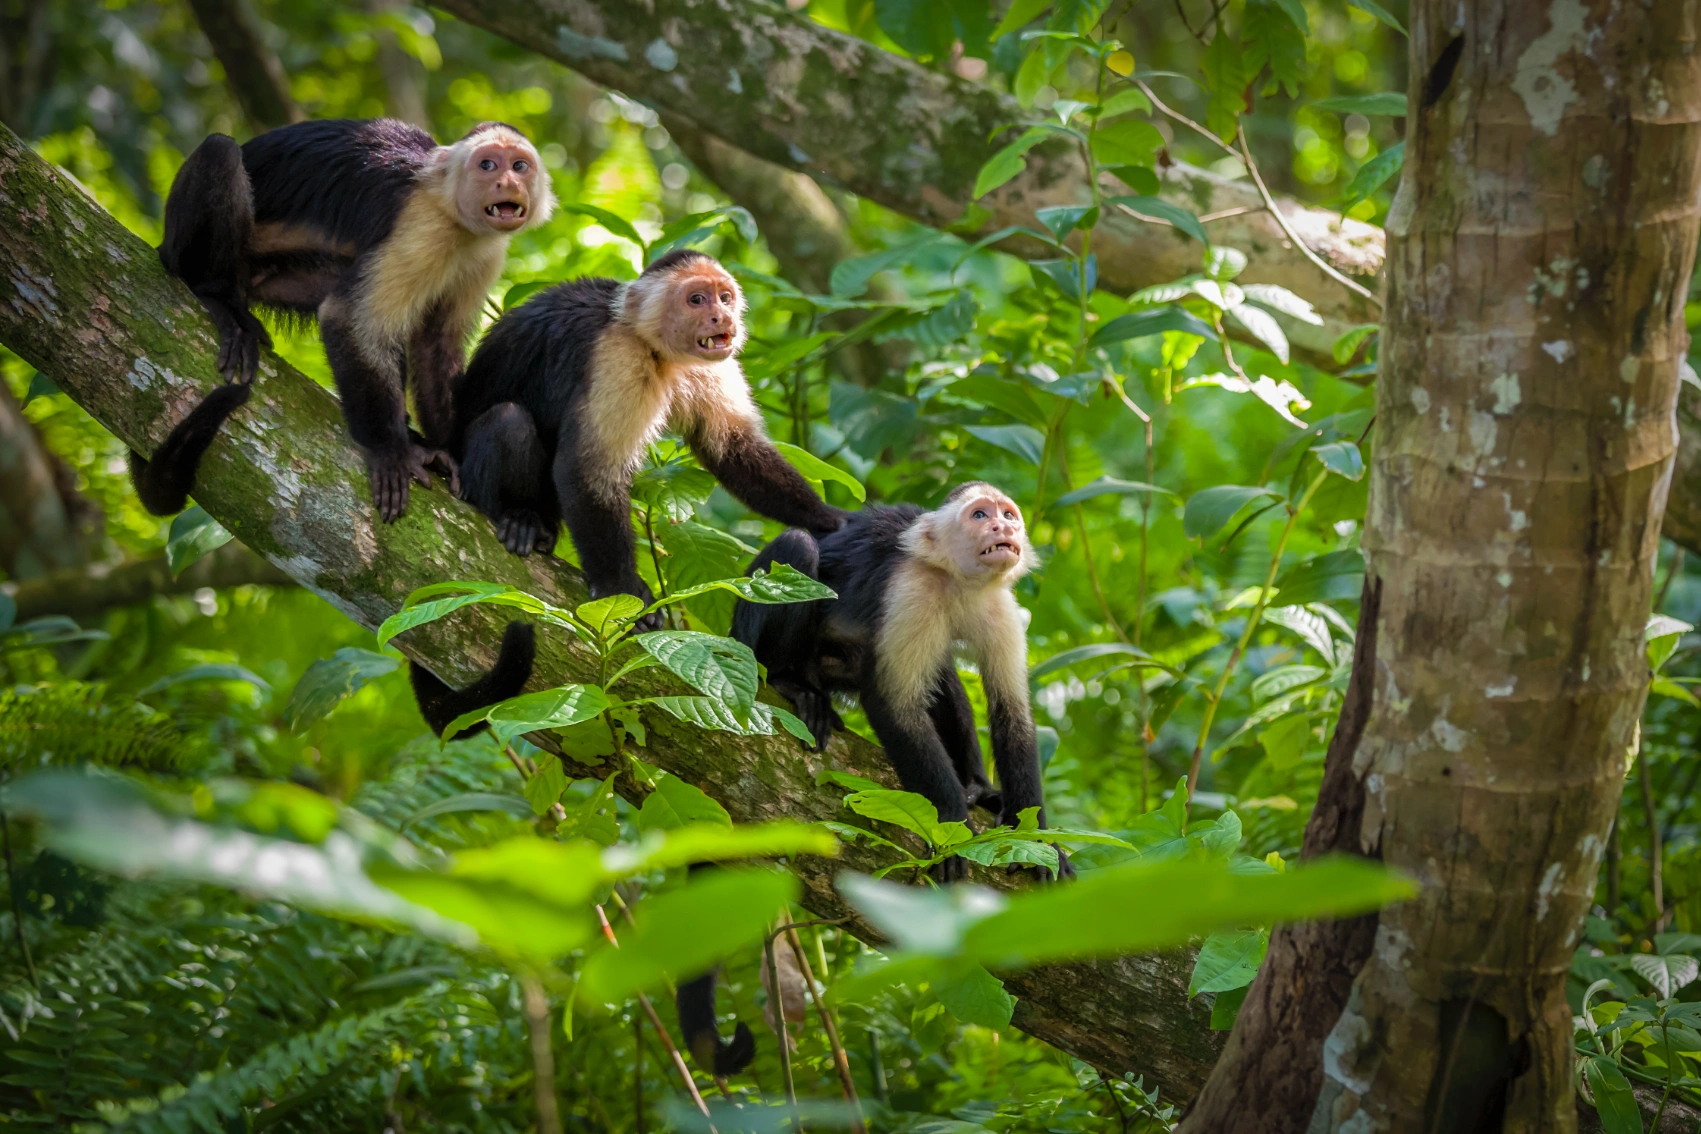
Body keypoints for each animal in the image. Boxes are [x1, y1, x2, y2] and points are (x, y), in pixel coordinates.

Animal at [130, 117, 555, 520]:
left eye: (519, 166)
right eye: (487, 165)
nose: (506, 181)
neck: (456, 217)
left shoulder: (485, 254)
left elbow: (435, 344)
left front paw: (444, 447)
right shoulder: (421, 226)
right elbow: (349, 318)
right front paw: (390, 450)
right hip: (189, 250)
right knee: (220, 152)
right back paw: (213, 294)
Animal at [447, 250, 844, 625]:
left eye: (725, 297)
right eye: (697, 299)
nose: (722, 318)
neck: (650, 341)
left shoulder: (709, 364)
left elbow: (732, 447)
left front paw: (833, 520)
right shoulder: (618, 356)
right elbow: (588, 469)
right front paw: (618, 588)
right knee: (508, 420)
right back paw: (522, 518)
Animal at [731, 483, 1073, 884]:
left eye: (1008, 515)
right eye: (979, 515)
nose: (1003, 528)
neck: (959, 581)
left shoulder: (999, 606)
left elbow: (1012, 714)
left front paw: (1037, 842)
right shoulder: (911, 590)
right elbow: (893, 705)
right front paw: (951, 829)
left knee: (941, 673)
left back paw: (977, 786)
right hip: (747, 639)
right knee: (797, 546)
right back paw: (787, 681)